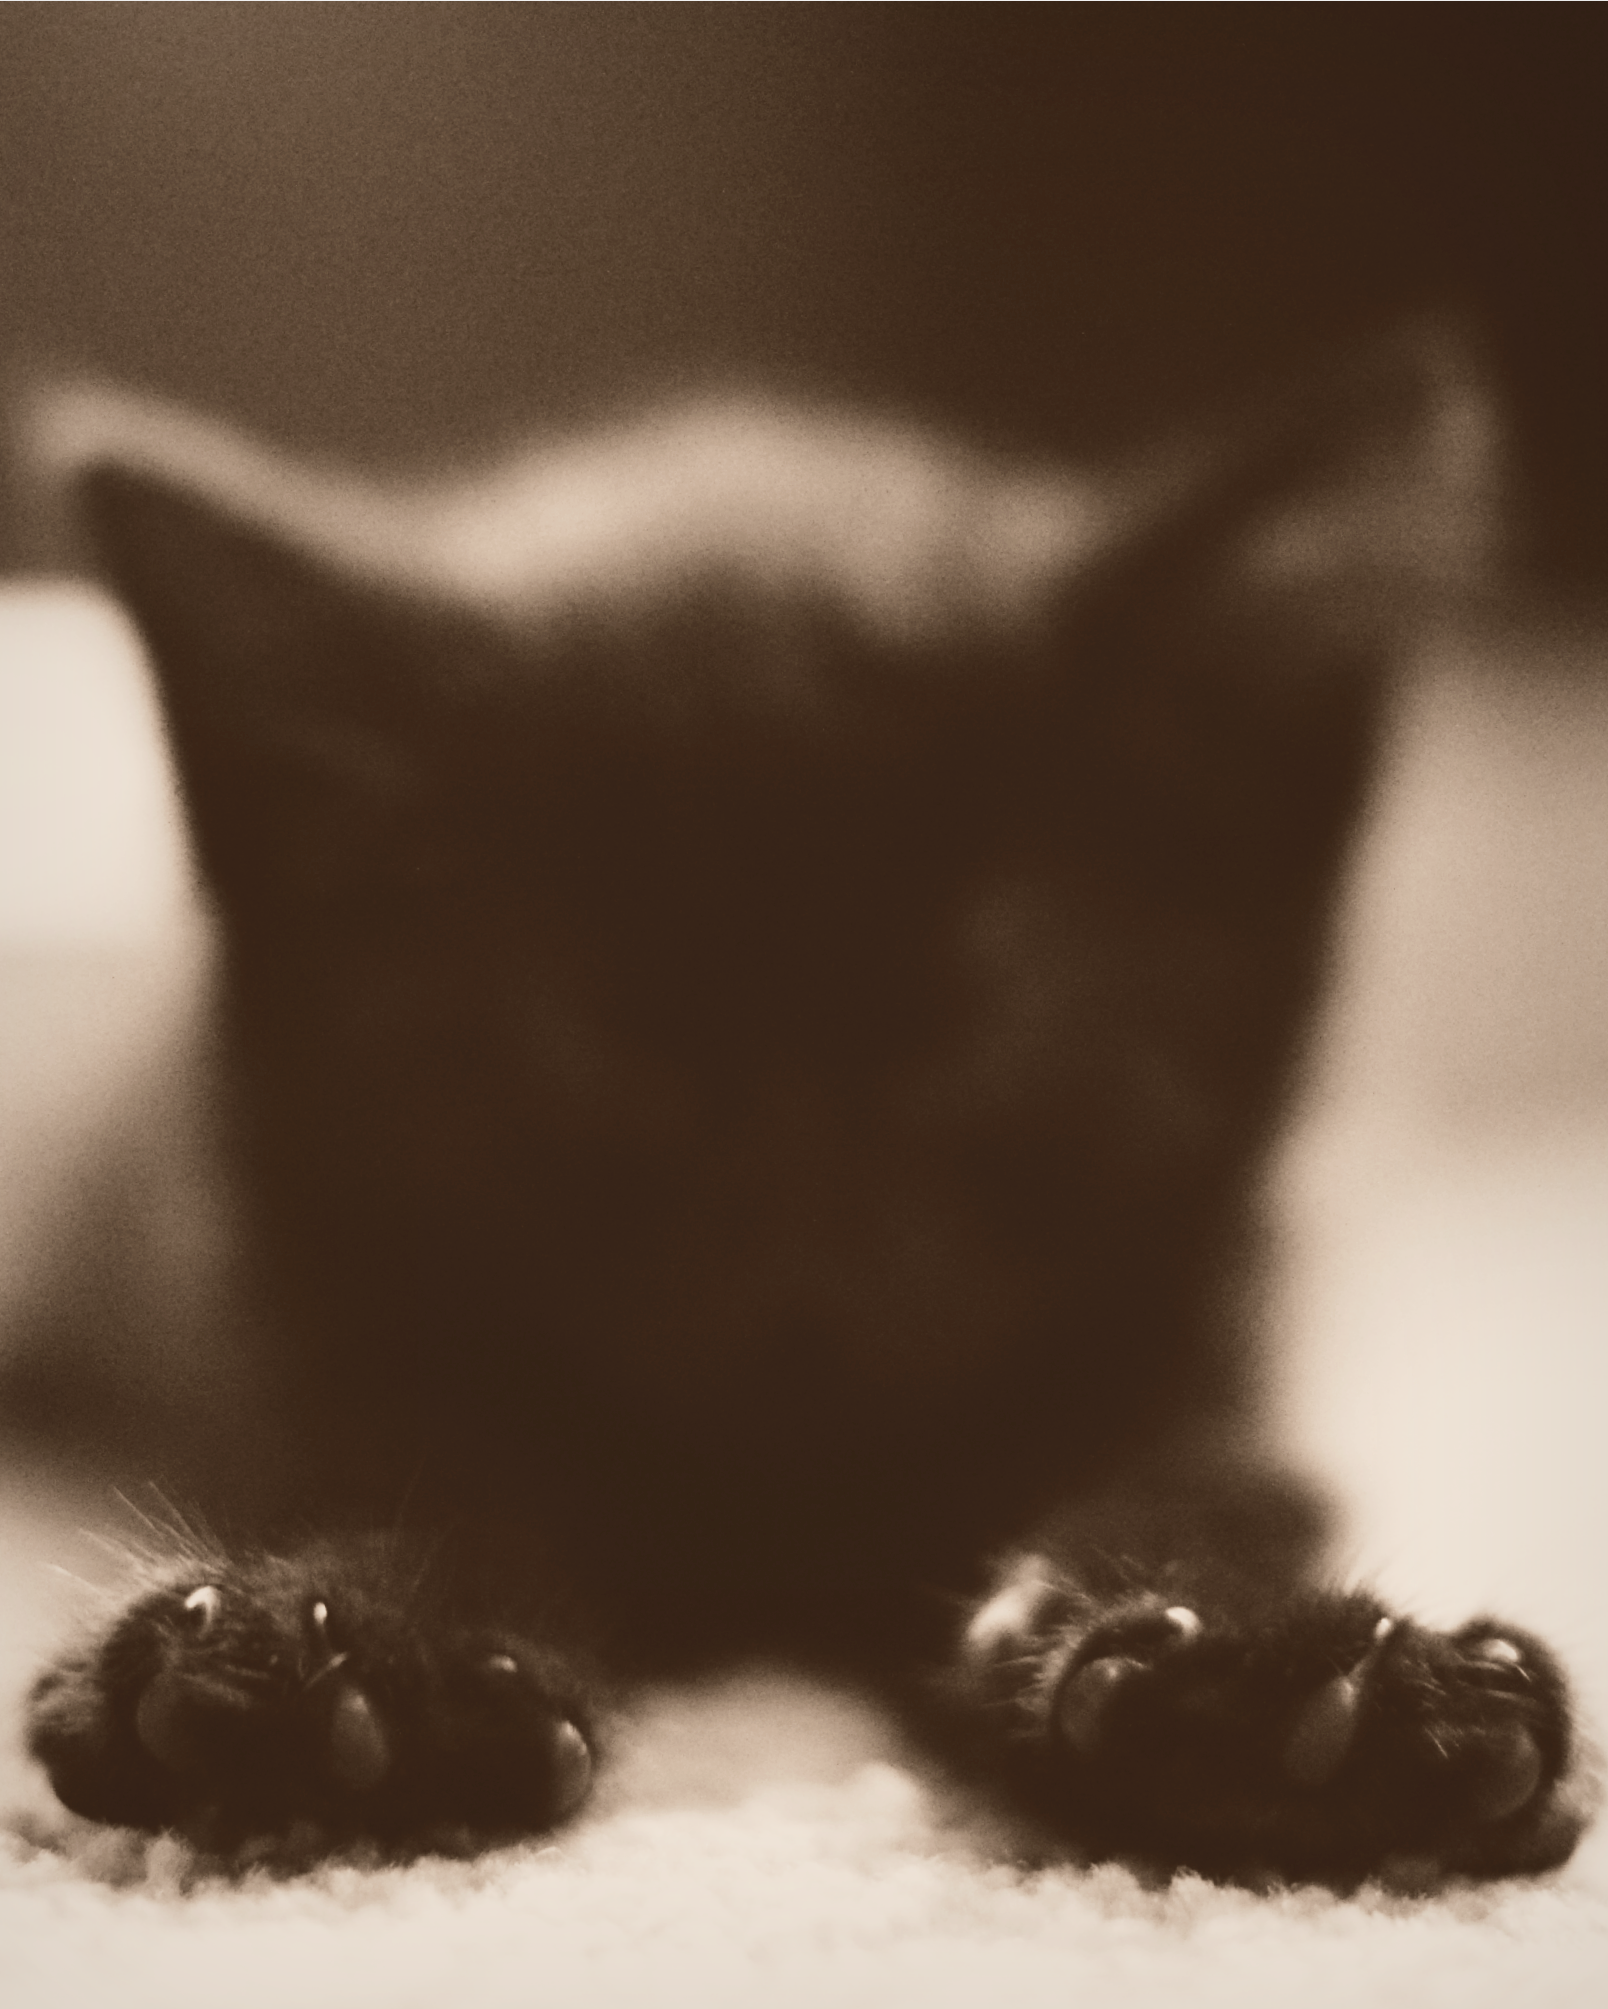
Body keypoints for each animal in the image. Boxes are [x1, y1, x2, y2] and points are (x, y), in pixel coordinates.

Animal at [17, 335, 1587, 1884]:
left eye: (982, 1037)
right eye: (597, 1051)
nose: (795, 1275)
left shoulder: (1228, 1308)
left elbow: (1220, 1480)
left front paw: (1285, 1689)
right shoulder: (296, 1297)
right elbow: (412, 1468)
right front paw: (338, 1655)